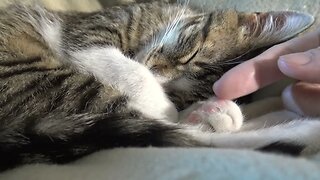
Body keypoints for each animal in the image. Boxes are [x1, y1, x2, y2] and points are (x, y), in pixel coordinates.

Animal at [0, 1, 318, 170]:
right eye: (191, 53)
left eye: (179, 94)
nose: (157, 74)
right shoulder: (88, 33)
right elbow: (131, 72)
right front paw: (162, 102)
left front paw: (196, 108)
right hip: (43, 81)